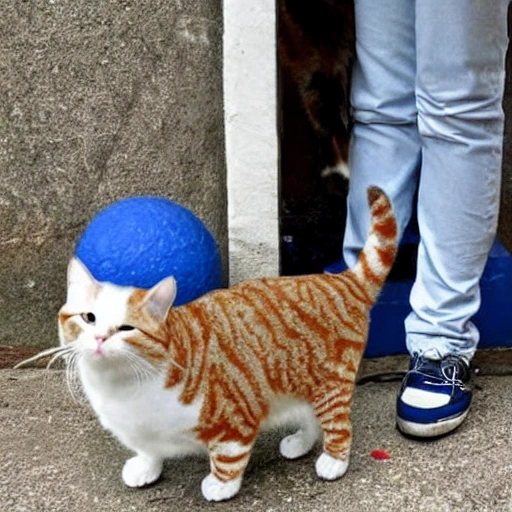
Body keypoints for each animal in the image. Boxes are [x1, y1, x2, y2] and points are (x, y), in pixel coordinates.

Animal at [27, 186, 400, 502]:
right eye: (89, 318)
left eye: (126, 328)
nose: (101, 338)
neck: (122, 386)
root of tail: (340, 280)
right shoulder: (142, 429)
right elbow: (148, 448)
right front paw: (147, 465)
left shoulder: (235, 418)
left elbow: (228, 457)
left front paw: (221, 485)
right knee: (310, 418)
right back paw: (301, 442)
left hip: (329, 385)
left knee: (338, 425)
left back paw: (334, 460)